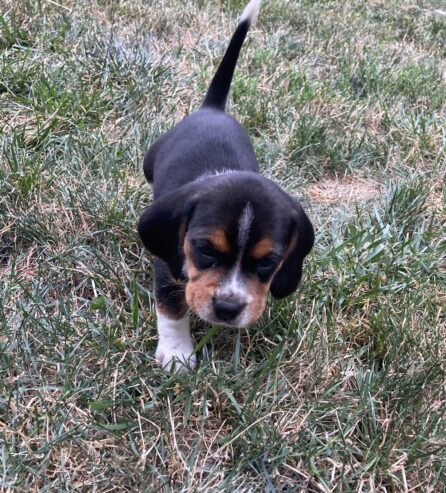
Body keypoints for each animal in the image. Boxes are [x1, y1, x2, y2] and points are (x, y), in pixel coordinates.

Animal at [139, 0, 314, 368]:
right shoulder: (167, 267)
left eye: (267, 262)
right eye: (205, 249)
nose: (227, 308)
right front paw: (177, 355)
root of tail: (212, 108)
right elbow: (172, 310)